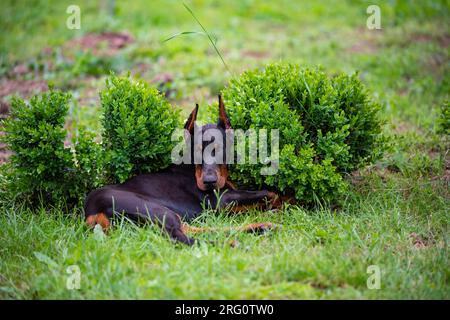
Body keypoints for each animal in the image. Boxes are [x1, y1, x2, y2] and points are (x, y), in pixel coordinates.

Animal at [85, 95, 280, 245]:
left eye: (220, 149)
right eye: (197, 151)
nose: (209, 182)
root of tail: (92, 215)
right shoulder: (221, 200)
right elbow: (270, 193)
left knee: (191, 229)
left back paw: (261, 227)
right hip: (155, 209)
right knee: (180, 238)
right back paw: (232, 242)